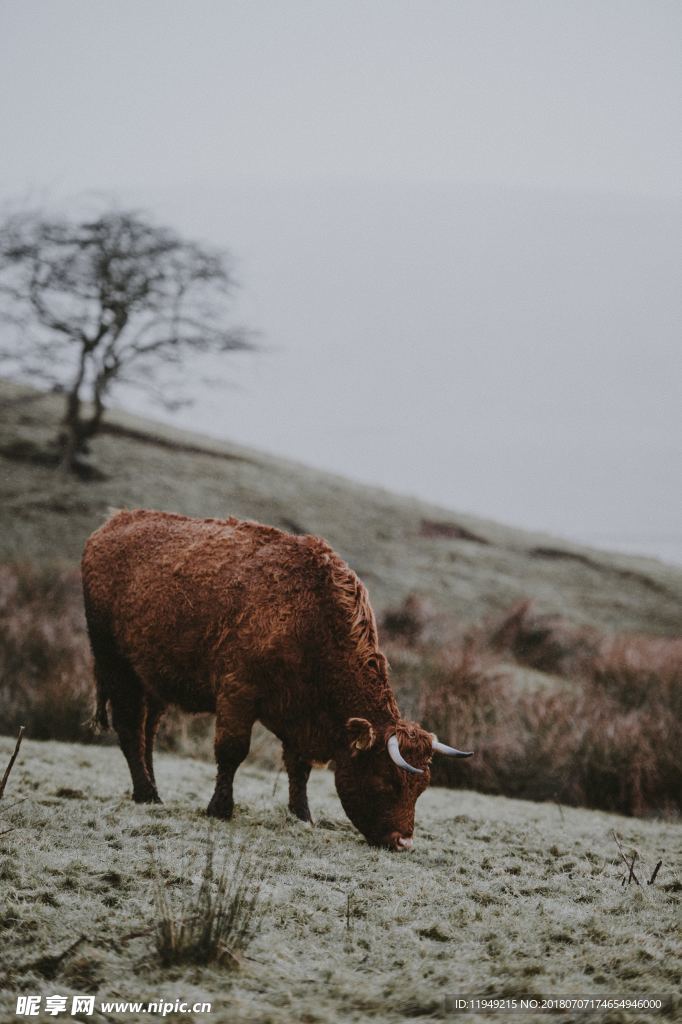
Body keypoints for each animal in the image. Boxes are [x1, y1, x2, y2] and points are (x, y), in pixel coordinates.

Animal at [82, 507, 471, 851]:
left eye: (421, 788)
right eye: (387, 781)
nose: (403, 842)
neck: (309, 616)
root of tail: (112, 524)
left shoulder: (299, 712)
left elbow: (299, 767)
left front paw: (302, 815)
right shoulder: (237, 693)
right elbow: (232, 751)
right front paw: (220, 809)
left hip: (152, 679)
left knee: (147, 731)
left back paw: (151, 789)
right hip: (116, 666)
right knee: (129, 728)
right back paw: (146, 794)